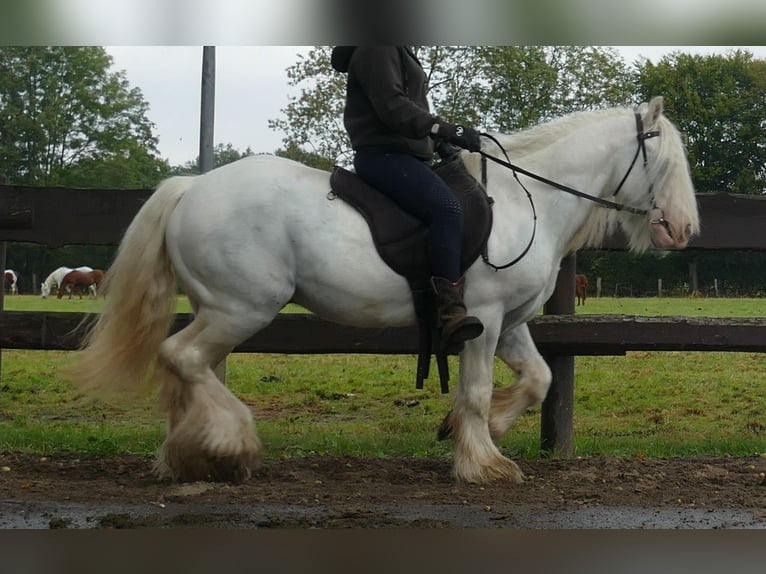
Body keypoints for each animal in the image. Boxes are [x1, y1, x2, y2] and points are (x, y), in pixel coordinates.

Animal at [72, 98, 704, 486]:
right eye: (664, 161)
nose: (683, 230)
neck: (528, 200)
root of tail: (192, 186)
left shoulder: (512, 323)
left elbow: (539, 379)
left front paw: (471, 433)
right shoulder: (483, 319)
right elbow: (478, 391)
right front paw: (483, 464)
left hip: (220, 308)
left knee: (184, 369)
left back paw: (191, 454)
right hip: (241, 308)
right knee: (182, 358)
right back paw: (233, 443)